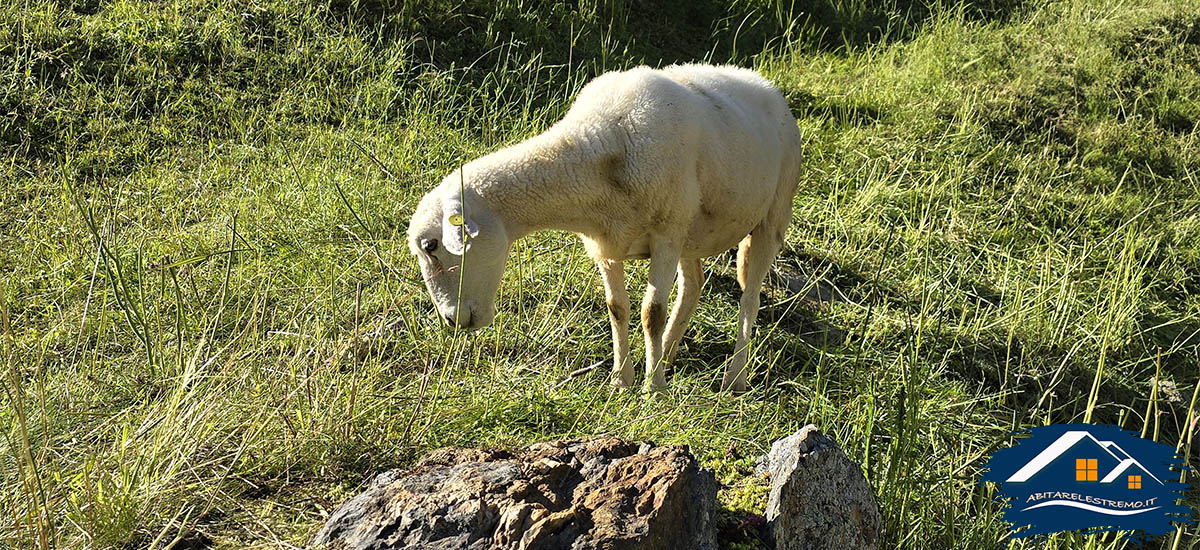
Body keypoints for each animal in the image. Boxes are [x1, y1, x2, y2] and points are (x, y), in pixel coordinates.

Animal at [408, 63, 801, 391]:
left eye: (431, 246)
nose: (452, 321)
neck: (599, 148)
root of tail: (763, 83)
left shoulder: (665, 234)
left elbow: (651, 312)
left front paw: (653, 389)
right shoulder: (605, 243)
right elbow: (617, 308)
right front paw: (621, 380)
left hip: (771, 214)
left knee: (749, 296)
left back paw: (734, 377)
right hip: (691, 228)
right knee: (693, 285)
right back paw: (668, 354)